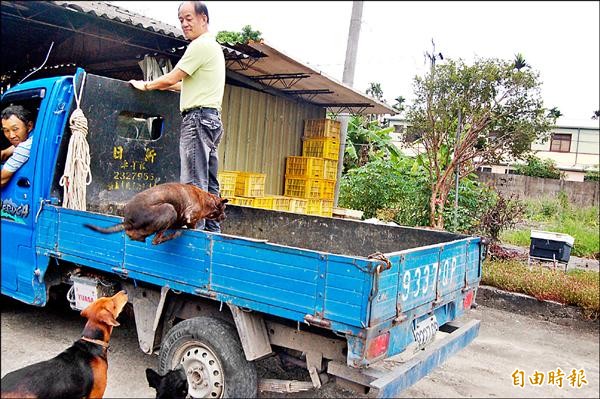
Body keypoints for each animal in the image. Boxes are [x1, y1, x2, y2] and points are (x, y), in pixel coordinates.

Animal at [82, 183, 227, 245]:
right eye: (224, 209)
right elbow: (193, 224)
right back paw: (174, 234)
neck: (207, 199)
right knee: (156, 240)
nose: (225, 217)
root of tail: (129, 221)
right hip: (169, 209)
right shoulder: (191, 216)